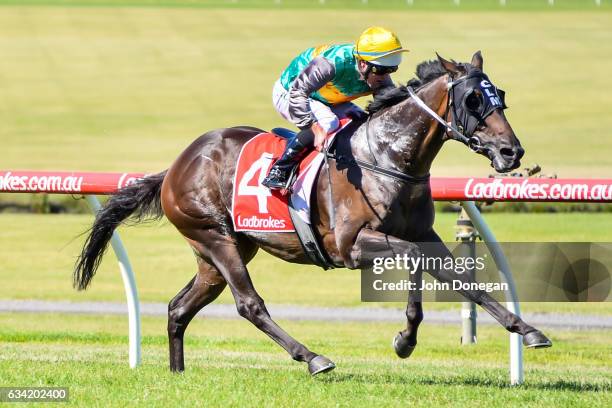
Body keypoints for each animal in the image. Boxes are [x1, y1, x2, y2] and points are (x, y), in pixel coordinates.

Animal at [74, 53, 552, 376]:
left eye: (500, 96)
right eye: (472, 100)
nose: (511, 152)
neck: (387, 157)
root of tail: (175, 166)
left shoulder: (423, 235)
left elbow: (464, 281)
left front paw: (528, 329)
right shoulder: (351, 246)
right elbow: (414, 261)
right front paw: (404, 340)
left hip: (222, 250)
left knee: (179, 307)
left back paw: (178, 372)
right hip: (215, 237)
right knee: (249, 304)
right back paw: (312, 357)